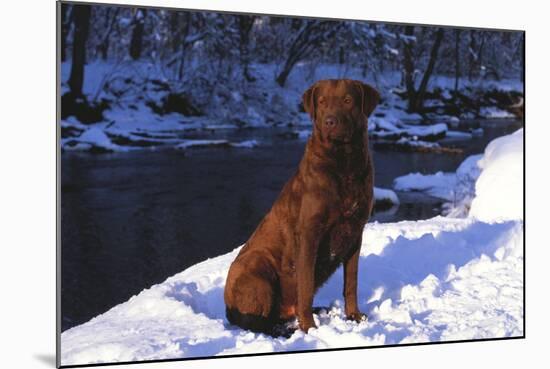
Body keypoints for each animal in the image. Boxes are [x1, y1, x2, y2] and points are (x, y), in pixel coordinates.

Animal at [224, 79, 380, 334]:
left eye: (348, 100)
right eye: (322, 101)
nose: (330, 121)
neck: (344, 164)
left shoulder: (356, 233)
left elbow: (351, 283)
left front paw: (354, 316)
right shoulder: (309, 234)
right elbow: (305, 287)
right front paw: (309, 327)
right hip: (258, 265)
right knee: (256, 322)